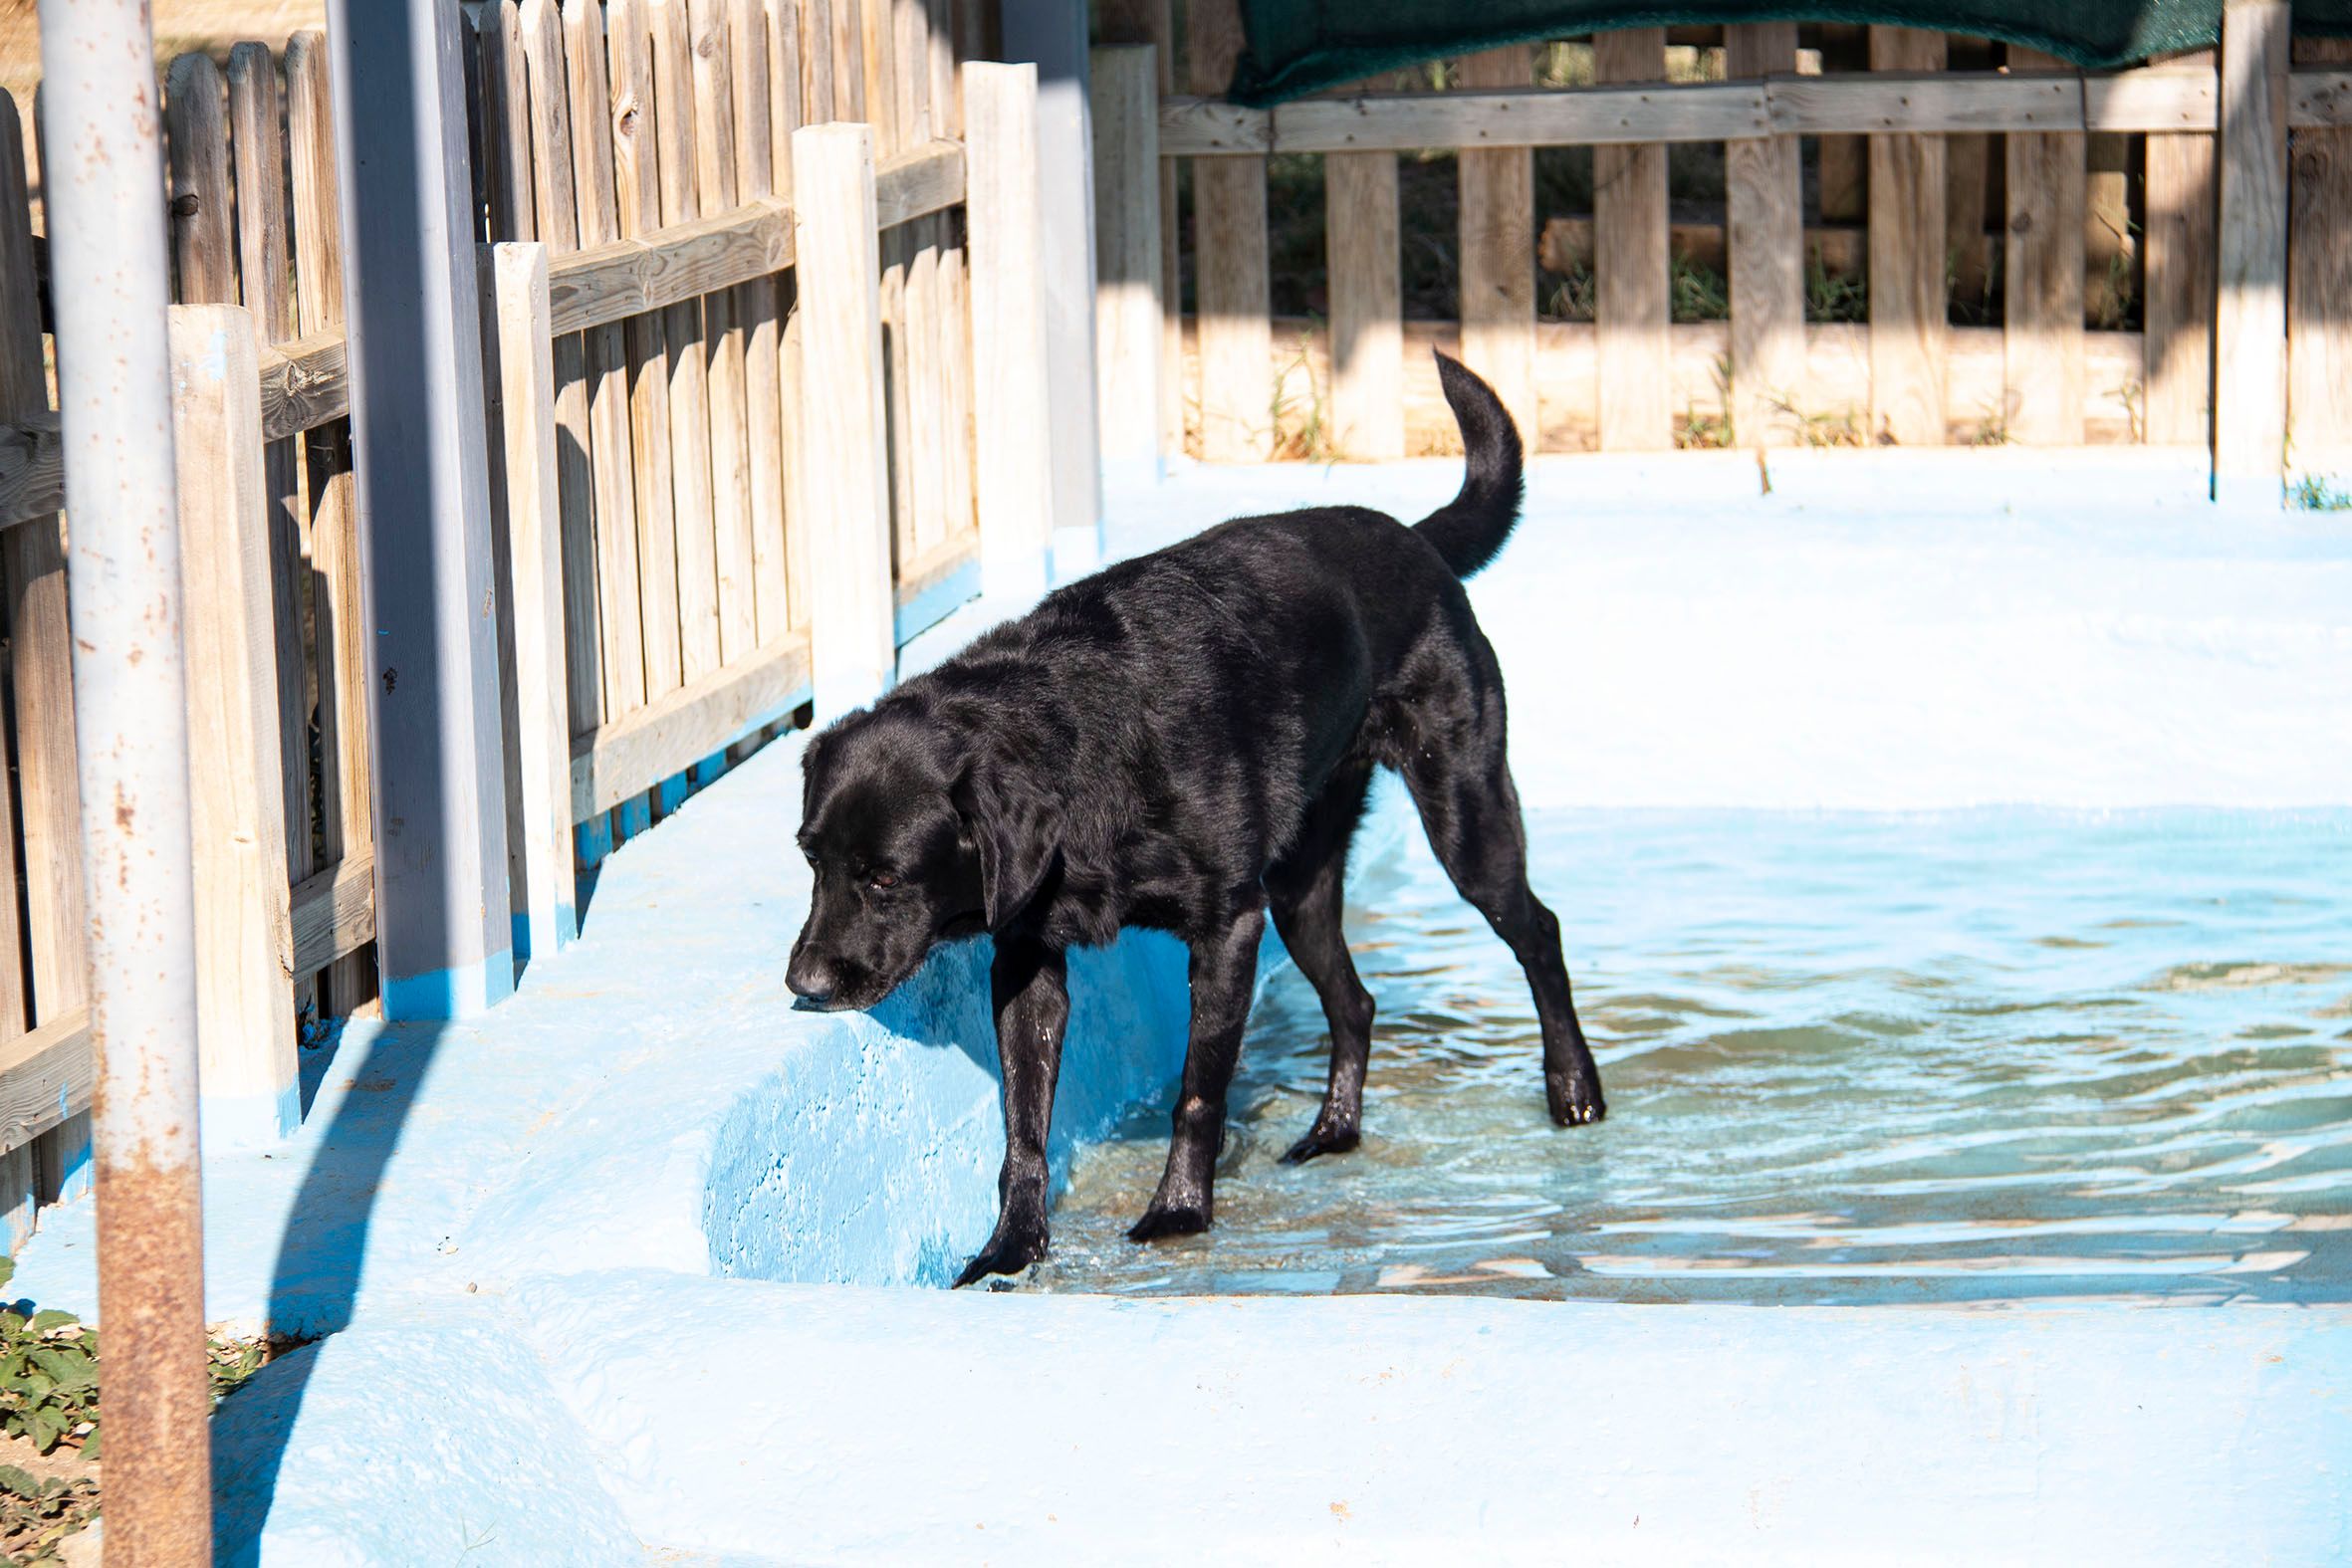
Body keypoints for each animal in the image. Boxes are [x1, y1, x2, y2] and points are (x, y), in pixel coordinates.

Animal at [787, 354, 1603, 1286]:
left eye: (885, 876)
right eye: (811, 859)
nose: (802, 984)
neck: (1073, 739)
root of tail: (1415, 536)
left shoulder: (1229, 927)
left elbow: (1198, 1091)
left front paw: (1179, 1210)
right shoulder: (1027, 957)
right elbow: (1023, 1125)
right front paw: (1012, 1244)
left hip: (1463, 821)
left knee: (1538, 931)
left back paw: (1574, 1091)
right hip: (1300, 888)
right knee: (1356, 1002)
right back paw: (1334, 1131)